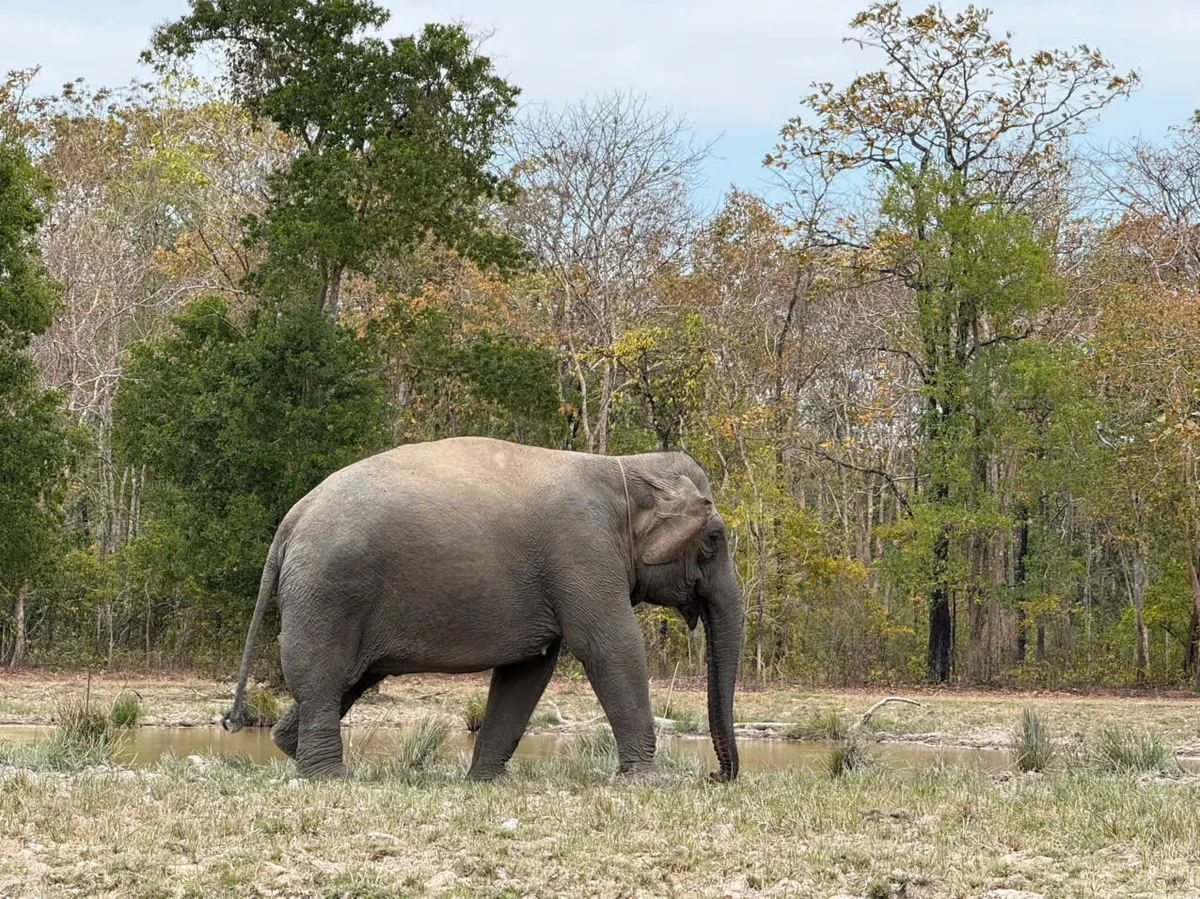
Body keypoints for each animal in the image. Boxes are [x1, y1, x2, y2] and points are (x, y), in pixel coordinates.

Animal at [223, 434, 739, 777]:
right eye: (714, 539)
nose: (717, 775)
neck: (626, 467)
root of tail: (291, 520)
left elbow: (527, 671)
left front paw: (486, 781)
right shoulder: (581, 549)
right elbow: (611, 646)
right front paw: (650, 782)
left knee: (347, 679)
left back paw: (289, 747)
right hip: (327, 591)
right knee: (322, 675)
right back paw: (330, 778)